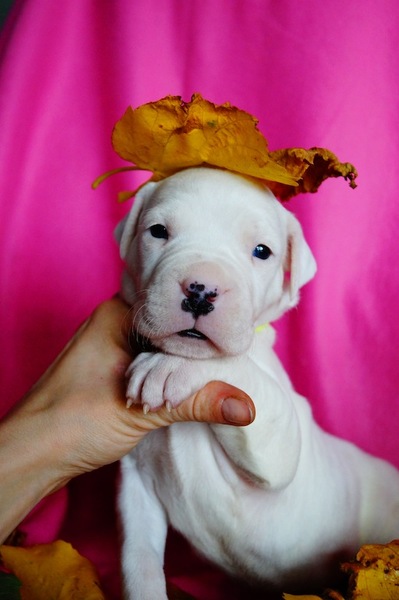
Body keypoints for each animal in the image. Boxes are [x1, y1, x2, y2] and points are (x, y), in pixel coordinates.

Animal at [117, 166, 398, 596]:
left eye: (262, 251)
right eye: (158, 231)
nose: (201, 290)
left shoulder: (277, 442)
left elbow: (236, 365)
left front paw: (168, 368)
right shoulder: (138, 488)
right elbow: (140, 560)